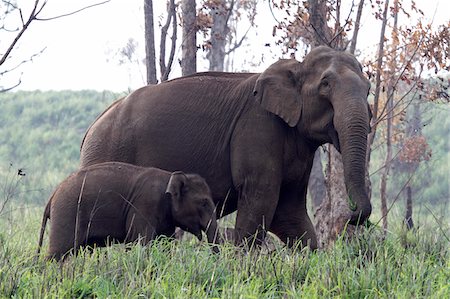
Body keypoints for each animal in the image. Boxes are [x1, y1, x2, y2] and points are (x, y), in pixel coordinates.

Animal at [36, 162, 218, 260]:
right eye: (204, 203)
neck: (169, 176)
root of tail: (52, 196)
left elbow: (165, 243)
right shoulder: (144, 205)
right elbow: (140, 242)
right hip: (66, 214)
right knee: (58, 254)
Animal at [80, 45, 372, 250]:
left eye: (369, 87)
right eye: (325, 85)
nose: (352, 216)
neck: (294, 65)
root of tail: (90, 130)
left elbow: (289, 212)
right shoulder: (258, 128)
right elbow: (261, 201)